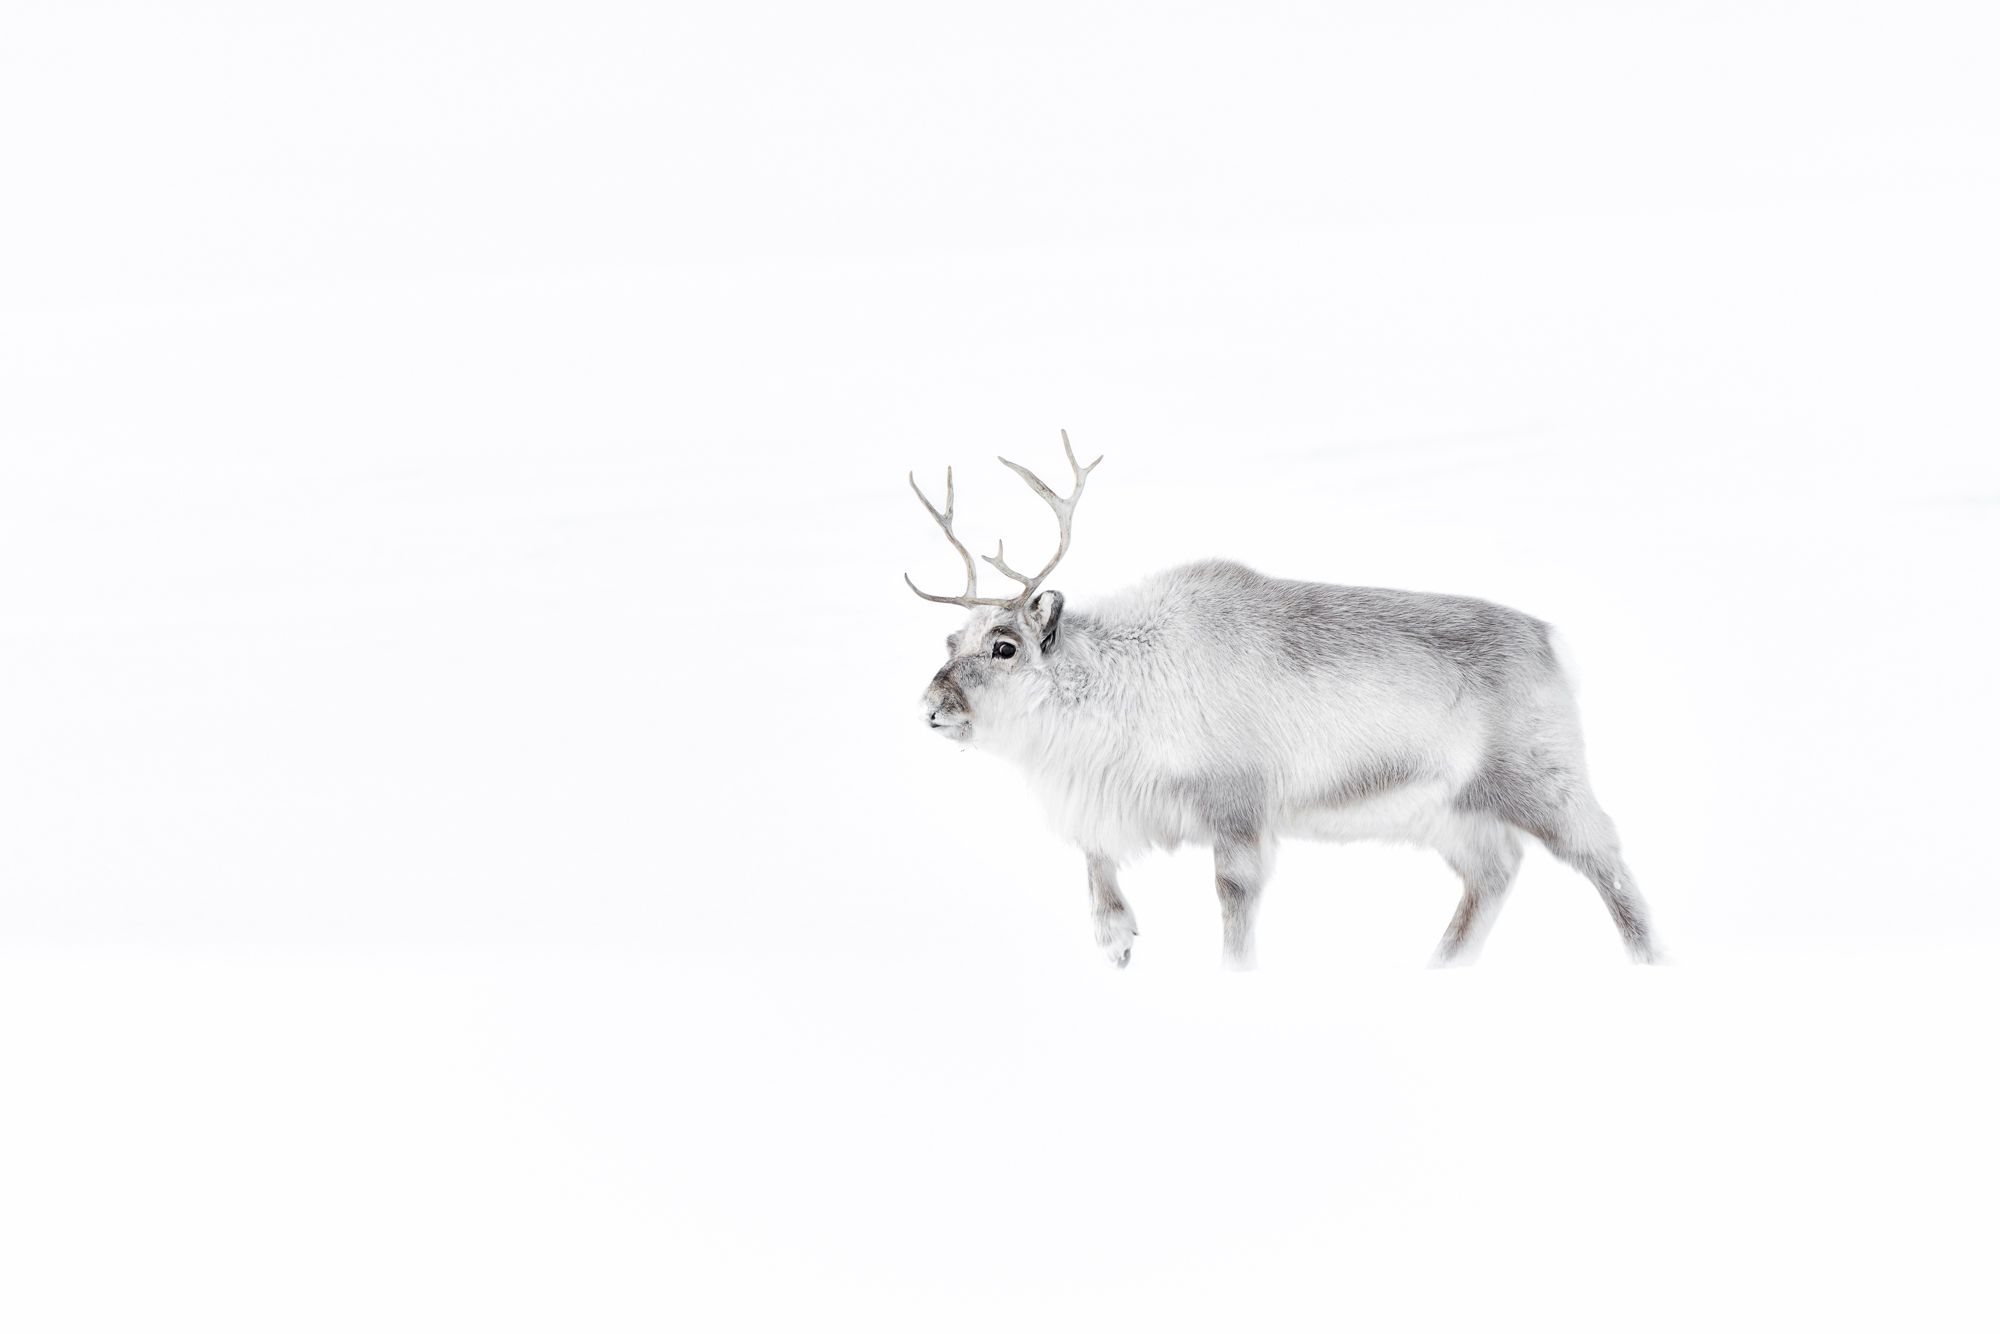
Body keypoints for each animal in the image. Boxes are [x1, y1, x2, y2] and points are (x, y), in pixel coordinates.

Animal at [906, 432, 1660, 971]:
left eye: (1005, 646)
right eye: (950, 638)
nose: (930, 708)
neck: (1121, 682)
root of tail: (1553, 641)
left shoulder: (1238, 807)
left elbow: (1233, 901)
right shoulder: (1122, 802)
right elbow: (1097, 865)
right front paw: (1116, 940)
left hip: (1541, 778)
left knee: (1605, 857)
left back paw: (1649, 958)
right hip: (1450, 811)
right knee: (1495, 873)